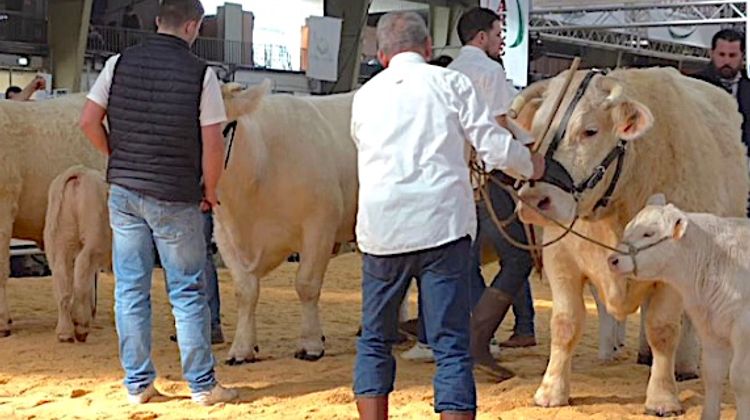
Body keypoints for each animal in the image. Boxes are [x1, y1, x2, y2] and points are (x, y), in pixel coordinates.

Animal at [43, 164, 110, 342]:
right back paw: (81, 325)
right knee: (82, 268)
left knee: (62, 277)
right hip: (94, 237)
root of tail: (80, 173)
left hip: (58, 239)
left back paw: (65, 331)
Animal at [612, 194, 750, 420]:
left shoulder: (743, 329)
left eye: (648, 233)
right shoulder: (711, 329)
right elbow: (712, 374)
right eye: (627, 229)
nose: (612, 259)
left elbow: (739, 378)